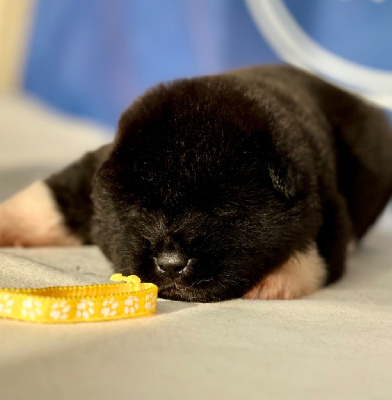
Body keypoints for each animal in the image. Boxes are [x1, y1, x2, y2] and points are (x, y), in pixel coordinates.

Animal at [0, 65, 392, 302]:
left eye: (223, 210)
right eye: (140, 208)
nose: (171, 263)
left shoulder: (328, 208)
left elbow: (312, 254)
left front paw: (273, 279)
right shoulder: (89, 174)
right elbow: (47, 200)